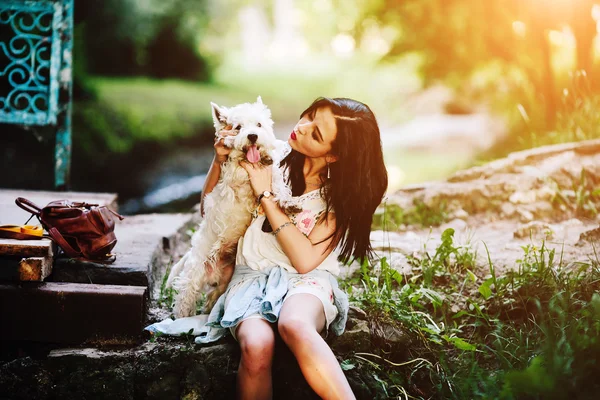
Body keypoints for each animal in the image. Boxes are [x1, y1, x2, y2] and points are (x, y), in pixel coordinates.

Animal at [166, 96, 292, 318]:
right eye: (238, 127)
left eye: (259, 124)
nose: (252, 136)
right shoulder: (234, 176)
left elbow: (275, 181)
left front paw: (284, 199)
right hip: (195, 272)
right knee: (185, 295)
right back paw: (181, 317)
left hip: (224, 284)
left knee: (212, 298)